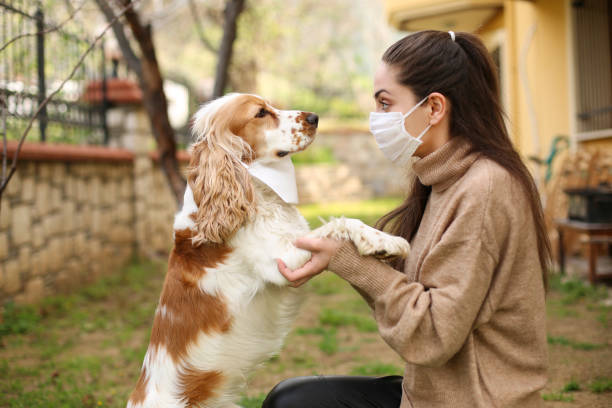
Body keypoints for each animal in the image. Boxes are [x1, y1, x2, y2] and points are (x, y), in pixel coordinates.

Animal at [126, 93, 408, 408]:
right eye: (260, 113)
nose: (314, 118)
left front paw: (383, 240)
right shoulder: (283, 260)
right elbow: (340, 224)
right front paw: (385, 243)